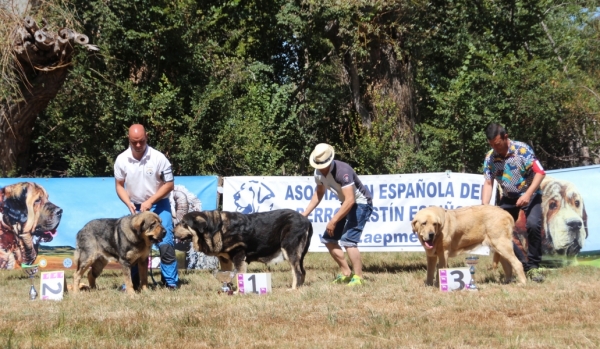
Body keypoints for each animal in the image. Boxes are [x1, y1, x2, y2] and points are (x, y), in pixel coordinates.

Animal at [173, 208, 314, 286]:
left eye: (184, 223)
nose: (172, 230)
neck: (216, 230)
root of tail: (306, 220)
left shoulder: (239, 254)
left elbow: (239, 274)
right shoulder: (225, 259)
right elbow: (227, 274)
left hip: (289, 249)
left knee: (297, 272)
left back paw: (293, 289)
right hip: (298, 255)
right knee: (303, 271)